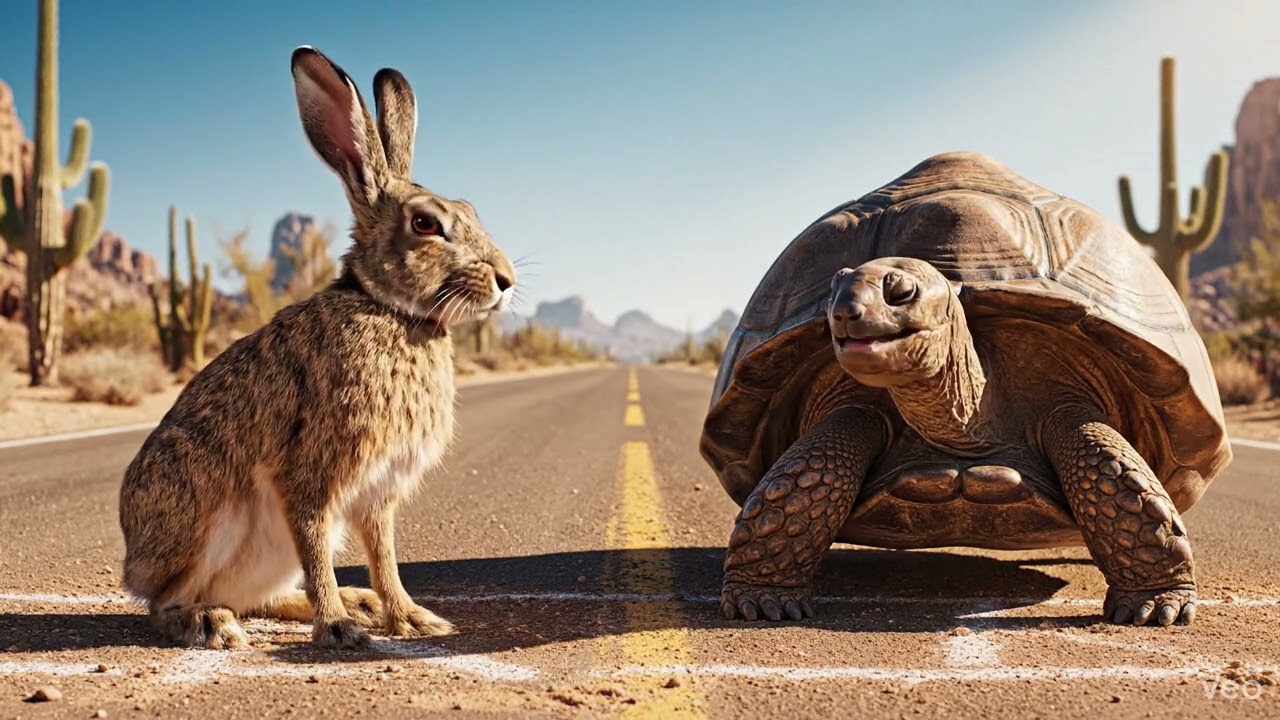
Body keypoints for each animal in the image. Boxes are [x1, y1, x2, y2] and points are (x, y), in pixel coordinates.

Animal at [117, 45, 516, 650]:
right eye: (426, 223)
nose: (506, 280)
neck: (389, 308)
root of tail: (132, 563)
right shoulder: (312, 472)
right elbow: (317, 541)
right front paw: (338, 629)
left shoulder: (378, 492)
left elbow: (384, 555)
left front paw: (410, 618)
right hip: (202, 517)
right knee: (164, 602)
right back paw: (211, 621)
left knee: (261, 594)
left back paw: (358, 601)